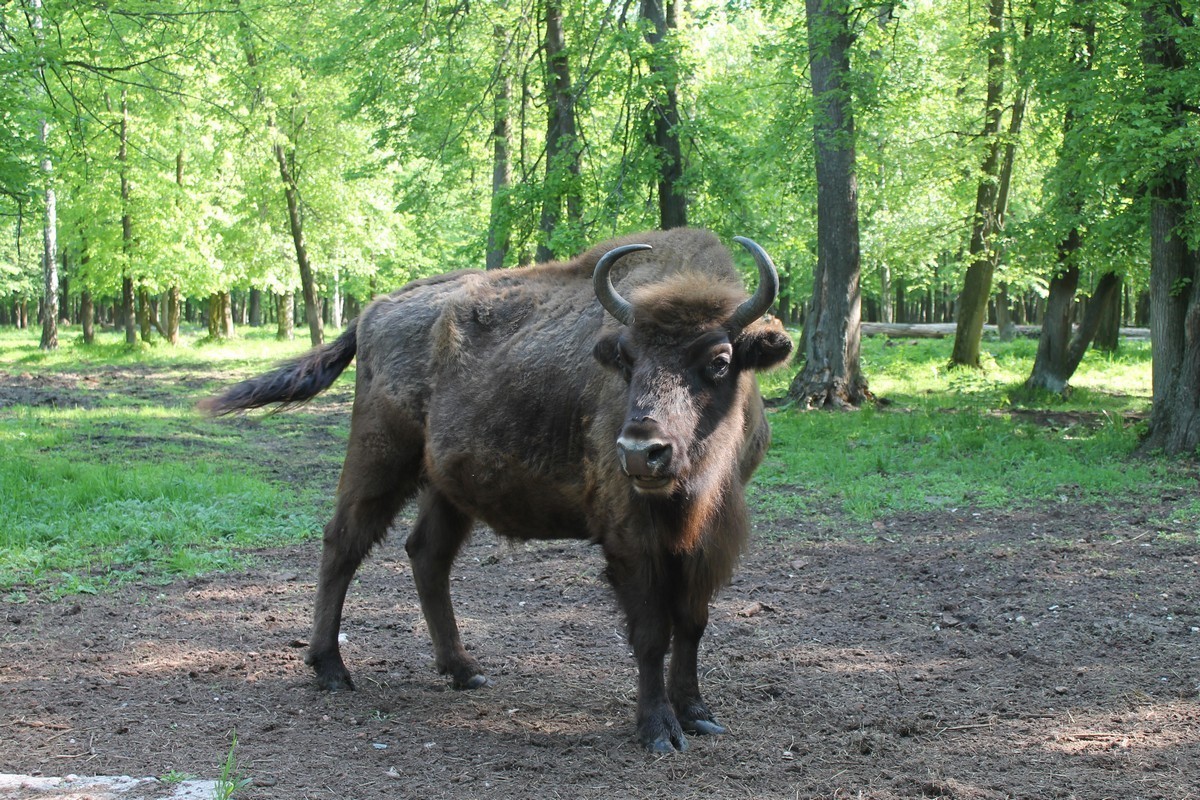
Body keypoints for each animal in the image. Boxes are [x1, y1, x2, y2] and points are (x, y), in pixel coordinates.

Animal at [201, 227, 792, 753]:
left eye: (719, 360)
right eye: (627, 358)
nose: (640, 450)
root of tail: (374, 309)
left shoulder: (709, 538)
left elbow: (691, 623)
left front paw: (697, 714)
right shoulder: (630, 536)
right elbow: (651, 631)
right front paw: (658, 732)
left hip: (446, 486)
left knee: (427, 554)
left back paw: (464, 670)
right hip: (380, 459)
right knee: (343, 543)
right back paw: (331, 670)